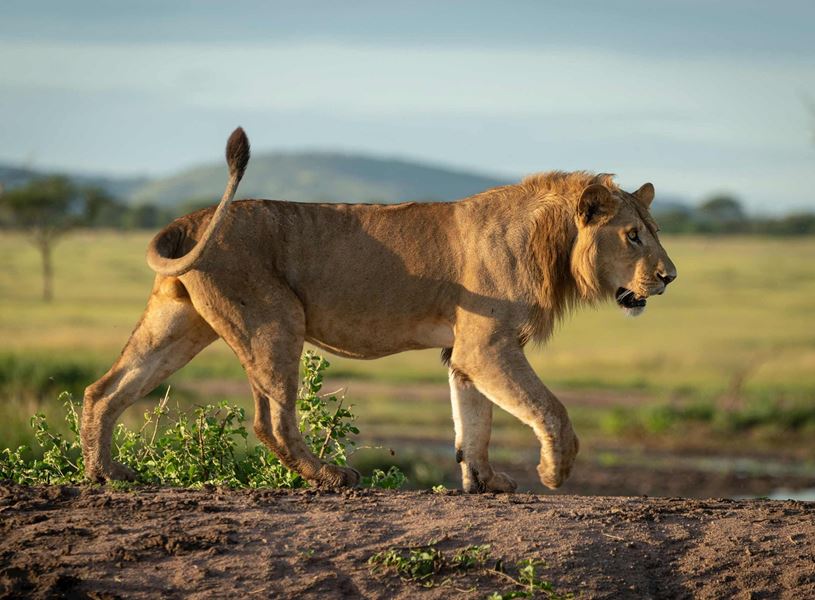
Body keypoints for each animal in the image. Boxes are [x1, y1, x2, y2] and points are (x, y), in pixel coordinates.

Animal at [81, 128, 677, 492]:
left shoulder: (465, 353)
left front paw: (484, 483)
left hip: (178, 324)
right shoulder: (488, 345)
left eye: (654, 231)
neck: (550, 244)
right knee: (270, 420)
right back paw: (330, 477)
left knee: (105, 389)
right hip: (275, 320)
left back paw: (106, 473)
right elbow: (548, 408)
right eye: (632, 236)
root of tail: (195, 218)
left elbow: (474, 425)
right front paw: (555, 471)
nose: (670, 277)